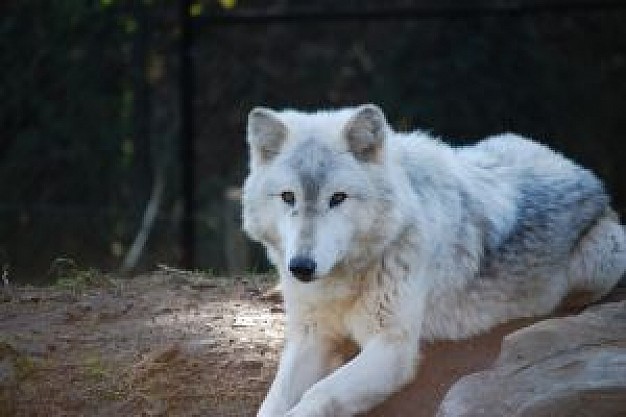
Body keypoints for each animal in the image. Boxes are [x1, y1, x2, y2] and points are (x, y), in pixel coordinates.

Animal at [240, 104, 624, 416]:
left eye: (338, 198)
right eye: (288, 197)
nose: (301, 267)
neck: (345, 282)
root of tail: (584, 173)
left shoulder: (393, 348)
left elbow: (319, 394)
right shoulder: (311, 336)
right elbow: (273, 401)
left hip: (603, 258)